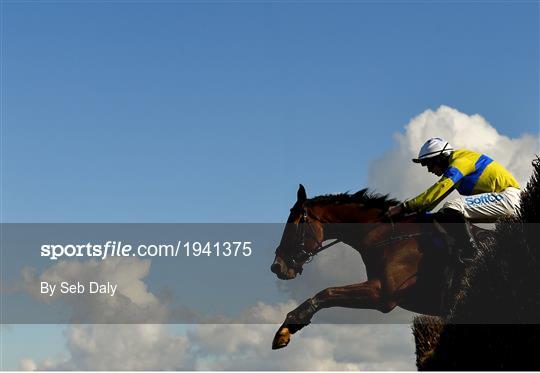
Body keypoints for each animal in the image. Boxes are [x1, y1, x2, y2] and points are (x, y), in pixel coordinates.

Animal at [270, 183, 460, 348]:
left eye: (293, 224)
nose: (276, 266)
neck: (388, 236)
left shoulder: (383, 295)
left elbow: (327, 293)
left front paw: (287, 327)